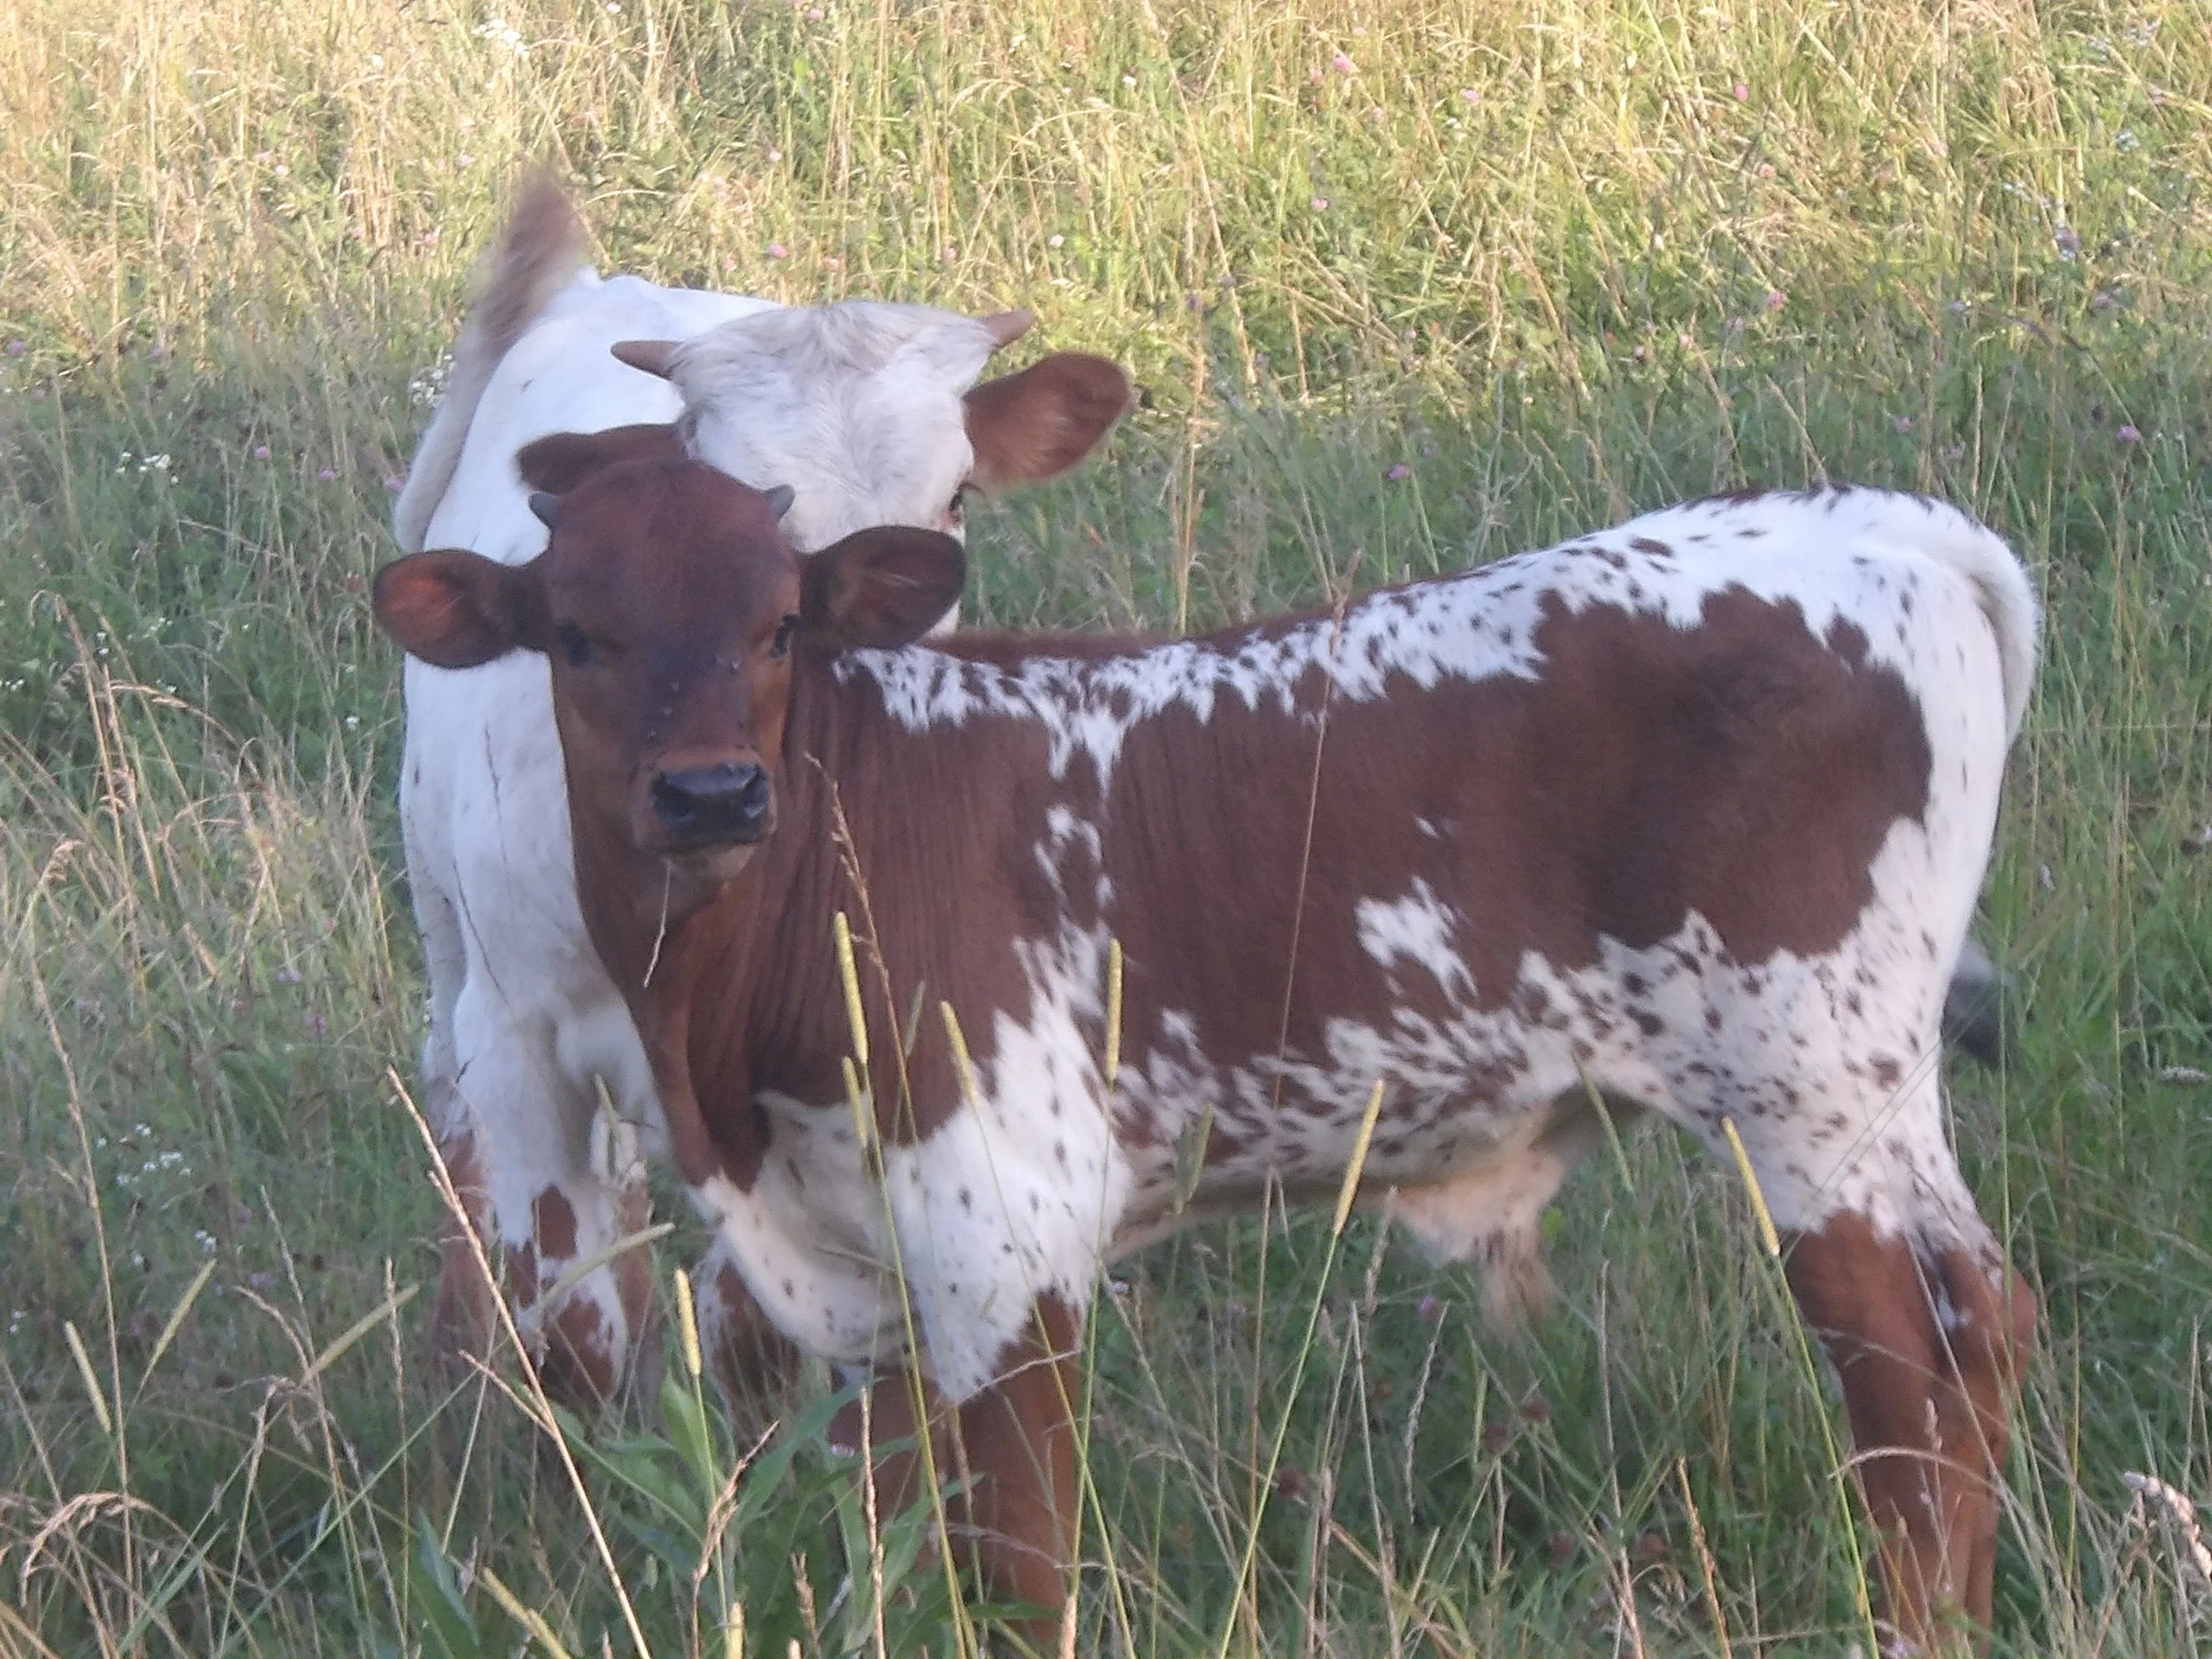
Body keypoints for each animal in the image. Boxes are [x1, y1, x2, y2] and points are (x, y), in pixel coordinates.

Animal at [373, 443, 2041, 1653]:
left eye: (778, 621)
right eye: (575, 636)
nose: (713, 792)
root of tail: (1872, 526)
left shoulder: (1010, 1236)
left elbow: (1019, 1555)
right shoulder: (867, 1273)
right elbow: (901, 1523)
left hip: (1804, 1085)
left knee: (1907, 1361)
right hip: (1869, 1093)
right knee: (1983, 1315)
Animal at [390, 174, 1133, 1404]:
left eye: (957, 496)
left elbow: (757, 1335)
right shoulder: (522, 1044)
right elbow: (575, 1327)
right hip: (441, 913)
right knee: (451, 1107)